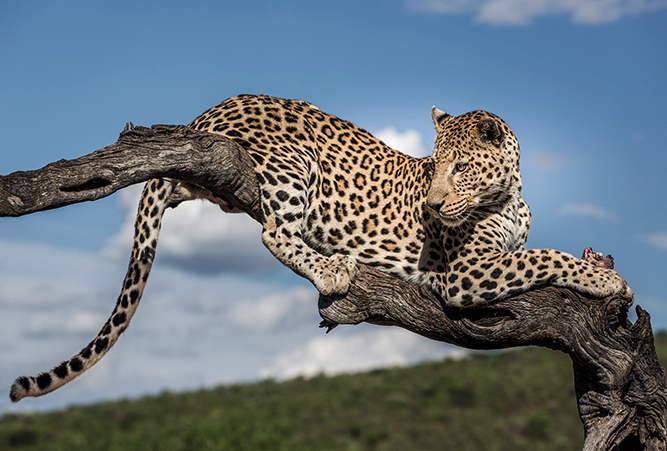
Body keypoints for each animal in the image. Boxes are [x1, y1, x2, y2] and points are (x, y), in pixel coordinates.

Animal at [9, 92, 632, 402]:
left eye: (458, 168)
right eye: (434, 167)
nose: (433, 206)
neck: (508, 195)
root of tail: (203, 113)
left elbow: (535, 251)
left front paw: (602, 272)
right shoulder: (464, 273)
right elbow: (544, 257)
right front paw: (608, 280)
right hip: (292, 163)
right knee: (273, 231)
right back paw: (333, 270)